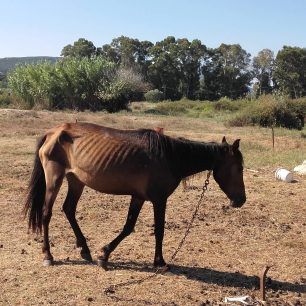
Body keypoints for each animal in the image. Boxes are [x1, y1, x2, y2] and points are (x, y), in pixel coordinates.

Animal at [23, 122, 246, 268]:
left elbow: (128, 227)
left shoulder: (139, 197)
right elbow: (159, 230)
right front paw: (160, 262)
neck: (169, 157)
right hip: (54, 178)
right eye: (239, 168)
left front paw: (104, 255)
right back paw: (48, 255)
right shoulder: (159, 200)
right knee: (46, 213)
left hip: (76, 180)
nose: (241, 200)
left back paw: (84, 249)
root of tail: (53, 132)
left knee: (68, 209)